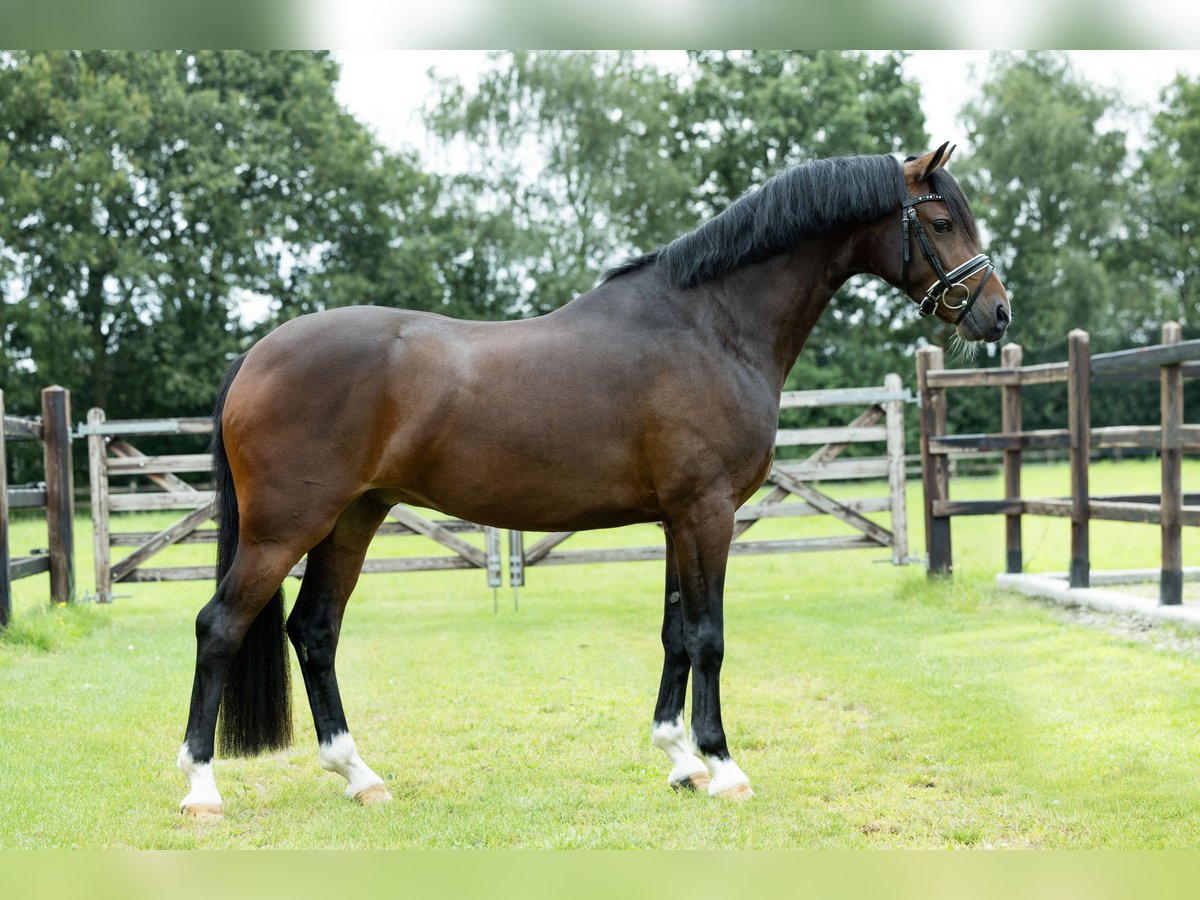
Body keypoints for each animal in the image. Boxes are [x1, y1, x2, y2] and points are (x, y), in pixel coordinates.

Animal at [178, 142, 1010, 819]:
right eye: (941, 223)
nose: (997, 314)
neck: (711, 326)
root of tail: (256, 355)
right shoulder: (707, 512)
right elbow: (708, 636)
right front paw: (723, 766)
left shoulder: (678, 517)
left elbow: (676, 634)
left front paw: (679, 760)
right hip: (286, 527)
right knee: (220, 628)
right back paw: (202, 788)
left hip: (353, 518)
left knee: (314, 632)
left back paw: (360, 776)